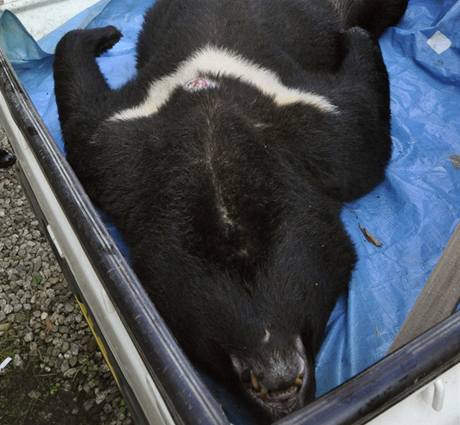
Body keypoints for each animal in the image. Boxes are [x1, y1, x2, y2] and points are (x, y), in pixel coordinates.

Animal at [53, 0, 406, 418]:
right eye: (209, 336)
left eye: (310, 291)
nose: (278, 381)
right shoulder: (122, 144)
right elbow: (81, 112)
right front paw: (103, 35)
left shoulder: (315, 127)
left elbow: (364, 128)